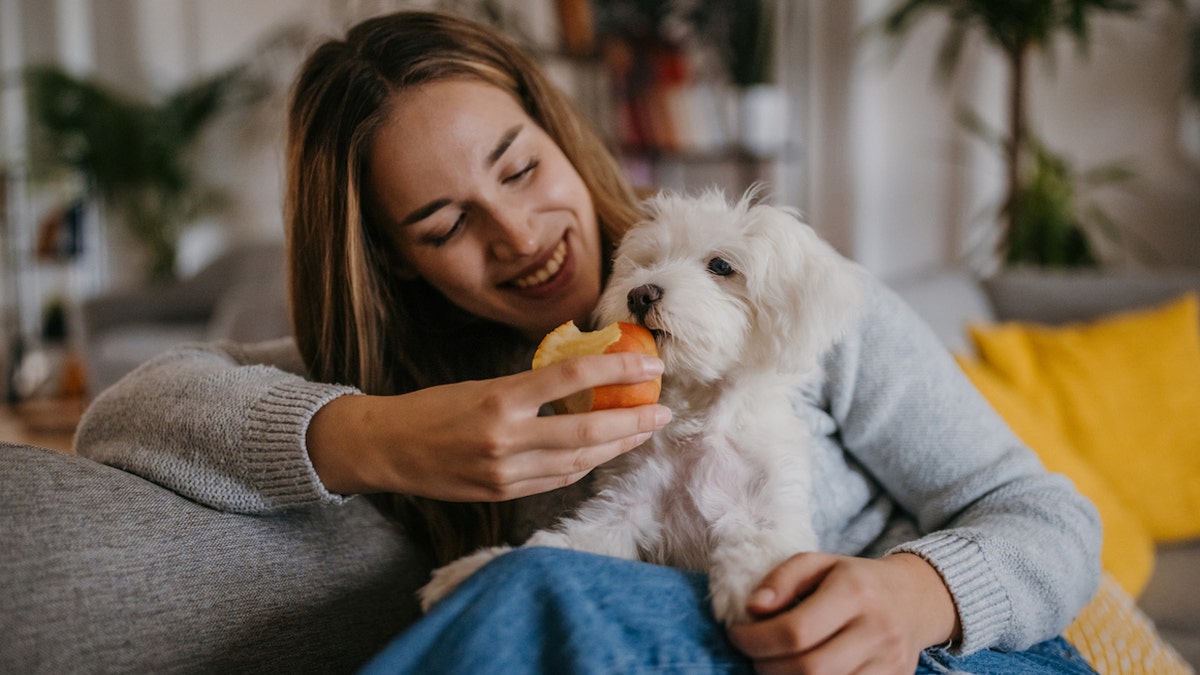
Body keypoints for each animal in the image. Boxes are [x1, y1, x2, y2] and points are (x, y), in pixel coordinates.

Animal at [420, 186, 864, 624]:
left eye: (721, 266)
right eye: (647, 263)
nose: (640, 293)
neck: (700, 418)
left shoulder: (771, 505)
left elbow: (764, 546)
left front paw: (759, 593)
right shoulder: (624, 509)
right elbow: (555, 544)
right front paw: (471, 569)